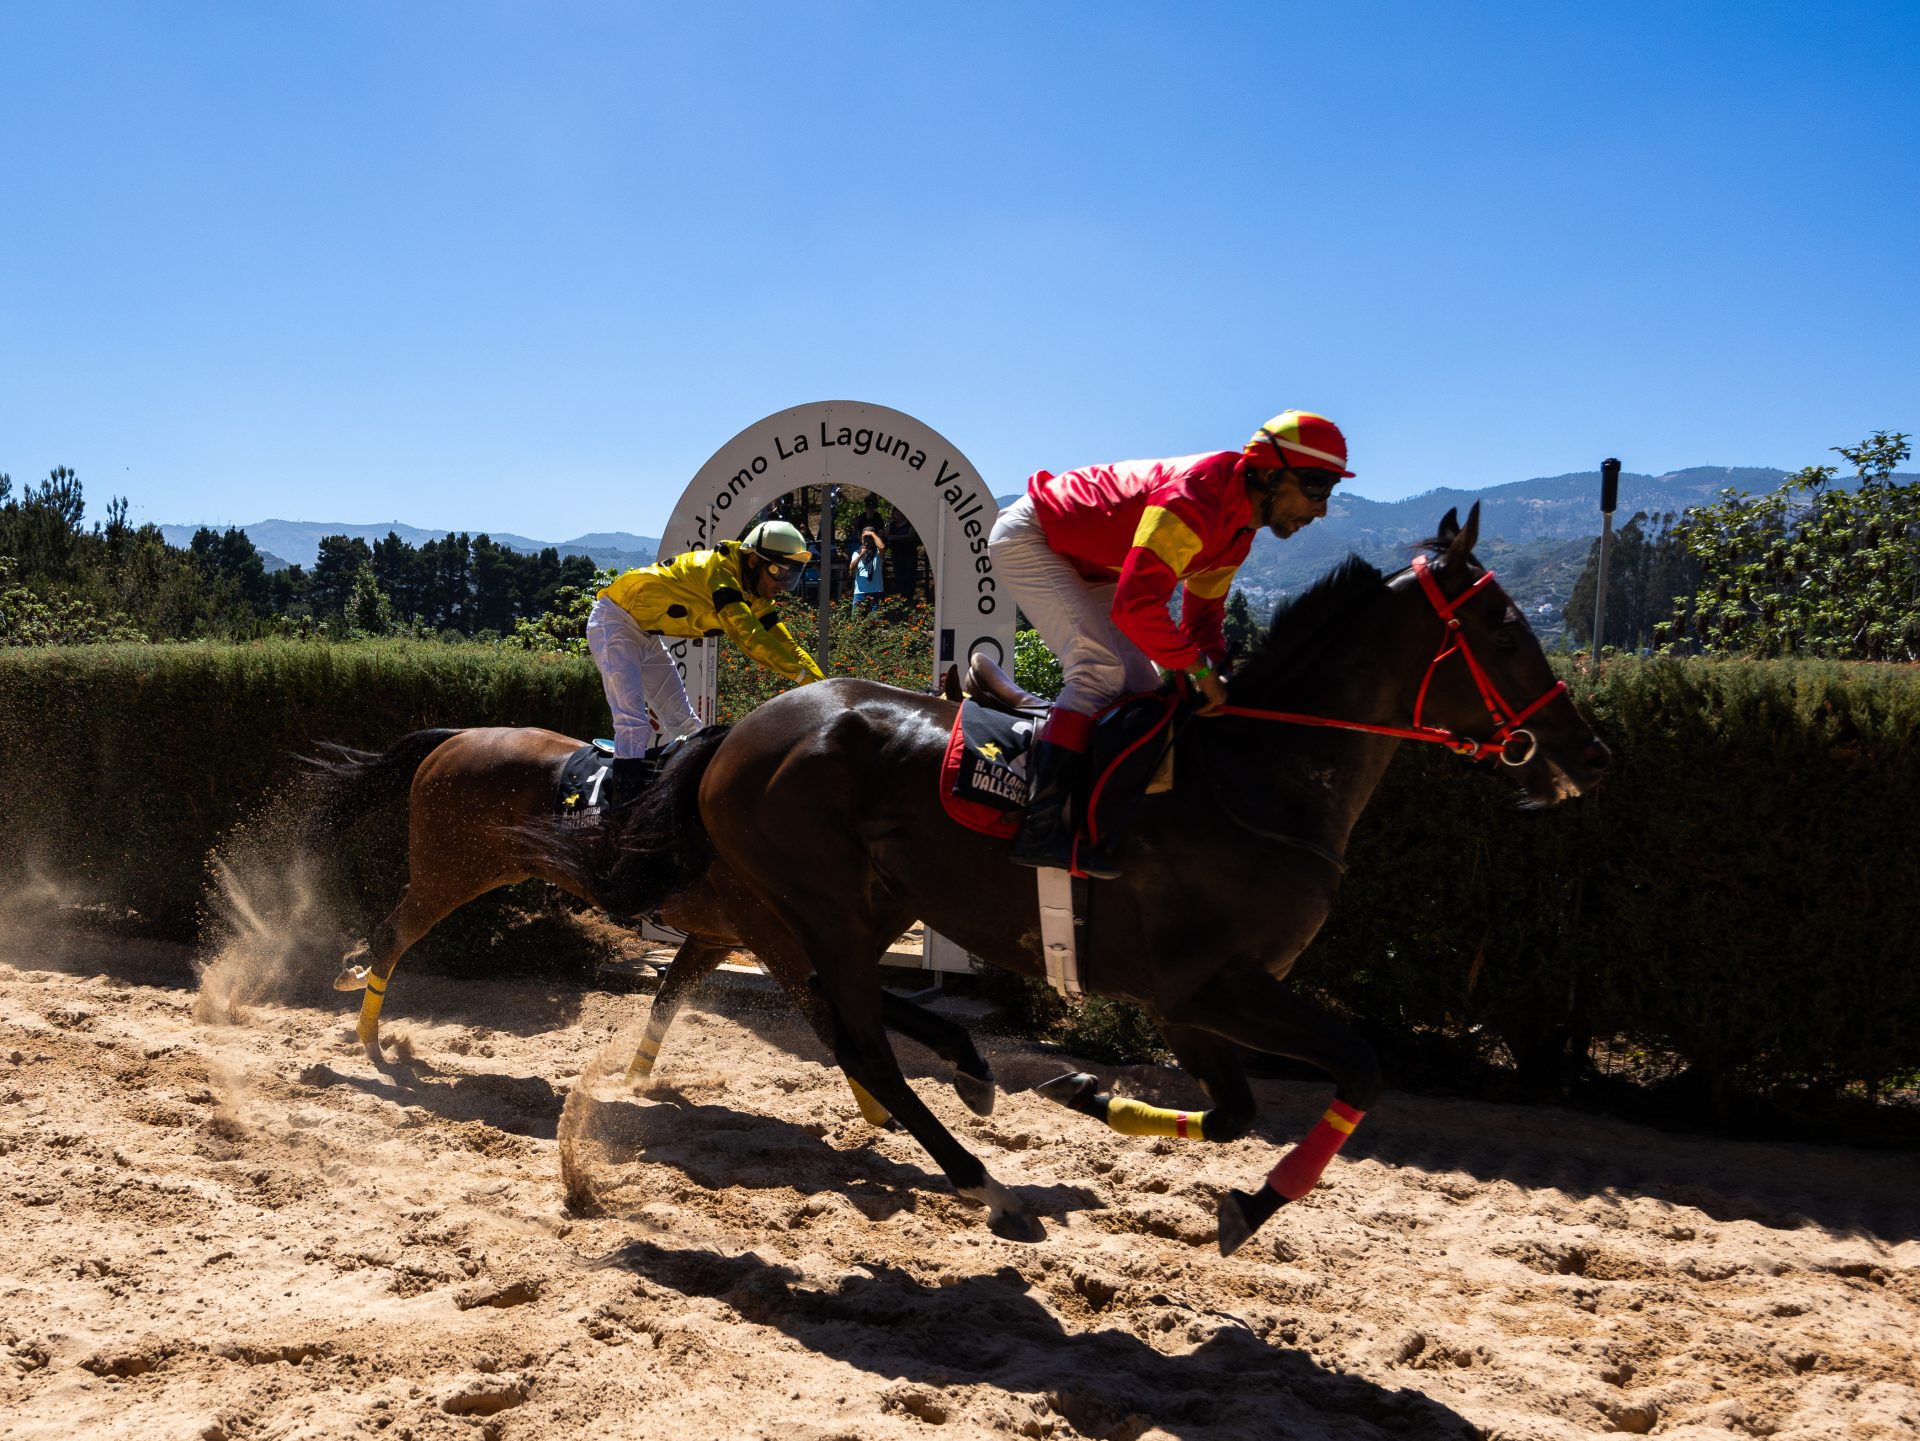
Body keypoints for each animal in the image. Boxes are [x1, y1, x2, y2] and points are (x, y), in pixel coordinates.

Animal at [301, 721, 998, 1128]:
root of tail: (455, 738)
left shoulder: (719, 936)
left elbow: (667, 999)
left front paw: (636, 1080)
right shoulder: (778, 940)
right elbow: (839, 1017)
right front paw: (888, 1104)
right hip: (454, 870)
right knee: (392, 935)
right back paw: (368, 1034)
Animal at [537, 502, 1605, 1251]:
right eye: (1502, 626)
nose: (1586, 753)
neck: (1253, 779)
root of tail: (731, 738)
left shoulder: (1190, 1000)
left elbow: (1235, 1111)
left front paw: (1087, 1092)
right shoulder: (1211, 984)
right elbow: (1362, 1066)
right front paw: (1255, 1206)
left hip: (864, 903)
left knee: (857, 1015)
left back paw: (973, 1077)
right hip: (816, 903)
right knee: (860, 1040)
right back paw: (986, 1183)